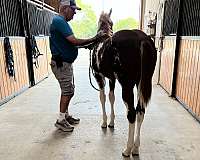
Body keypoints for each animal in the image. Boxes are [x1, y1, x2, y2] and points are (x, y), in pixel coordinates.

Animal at [91, 9, 158, 156]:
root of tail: (142, 39)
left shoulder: (99, 76)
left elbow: (103, 97)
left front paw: (104, 122)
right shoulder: (112, 78)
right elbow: (111, 97)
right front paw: (111, 122)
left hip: (127, 85)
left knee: (132, 113)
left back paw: (127, 149)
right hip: (140, 83)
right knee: (140, 111)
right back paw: (136, 148)